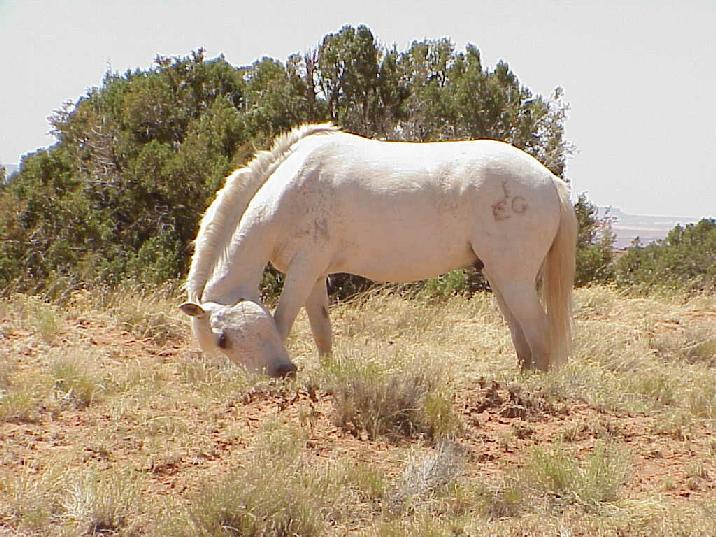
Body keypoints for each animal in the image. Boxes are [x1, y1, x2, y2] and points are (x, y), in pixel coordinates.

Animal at [182, 124, 580, 376]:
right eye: (222, 339)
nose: (283, 371)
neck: (288, 192)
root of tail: (549, 181)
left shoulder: (303, 269)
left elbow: (285, 321)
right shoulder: (314, 274)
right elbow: (322, 332)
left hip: (513, 278)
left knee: (539, 332)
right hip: (497, 276)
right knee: (522, 336)